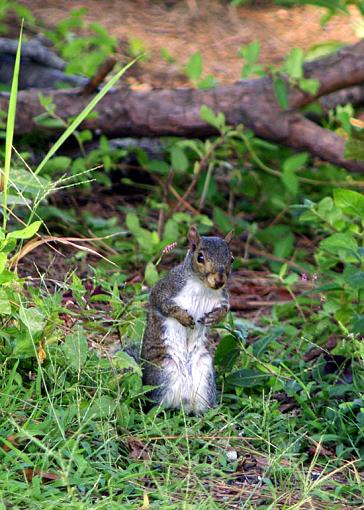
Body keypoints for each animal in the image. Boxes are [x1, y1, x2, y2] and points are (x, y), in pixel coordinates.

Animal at [142, 226, 233, 414]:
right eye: (200, 257)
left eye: (232, 259)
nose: (219, 281)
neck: (203, 287)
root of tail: (183, 403)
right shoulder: (166, 288)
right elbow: (162, 304)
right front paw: (183, 317)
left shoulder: (222, 298)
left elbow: (224, 310)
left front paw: (213, 318)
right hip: (163, 372)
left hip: (205, 376)